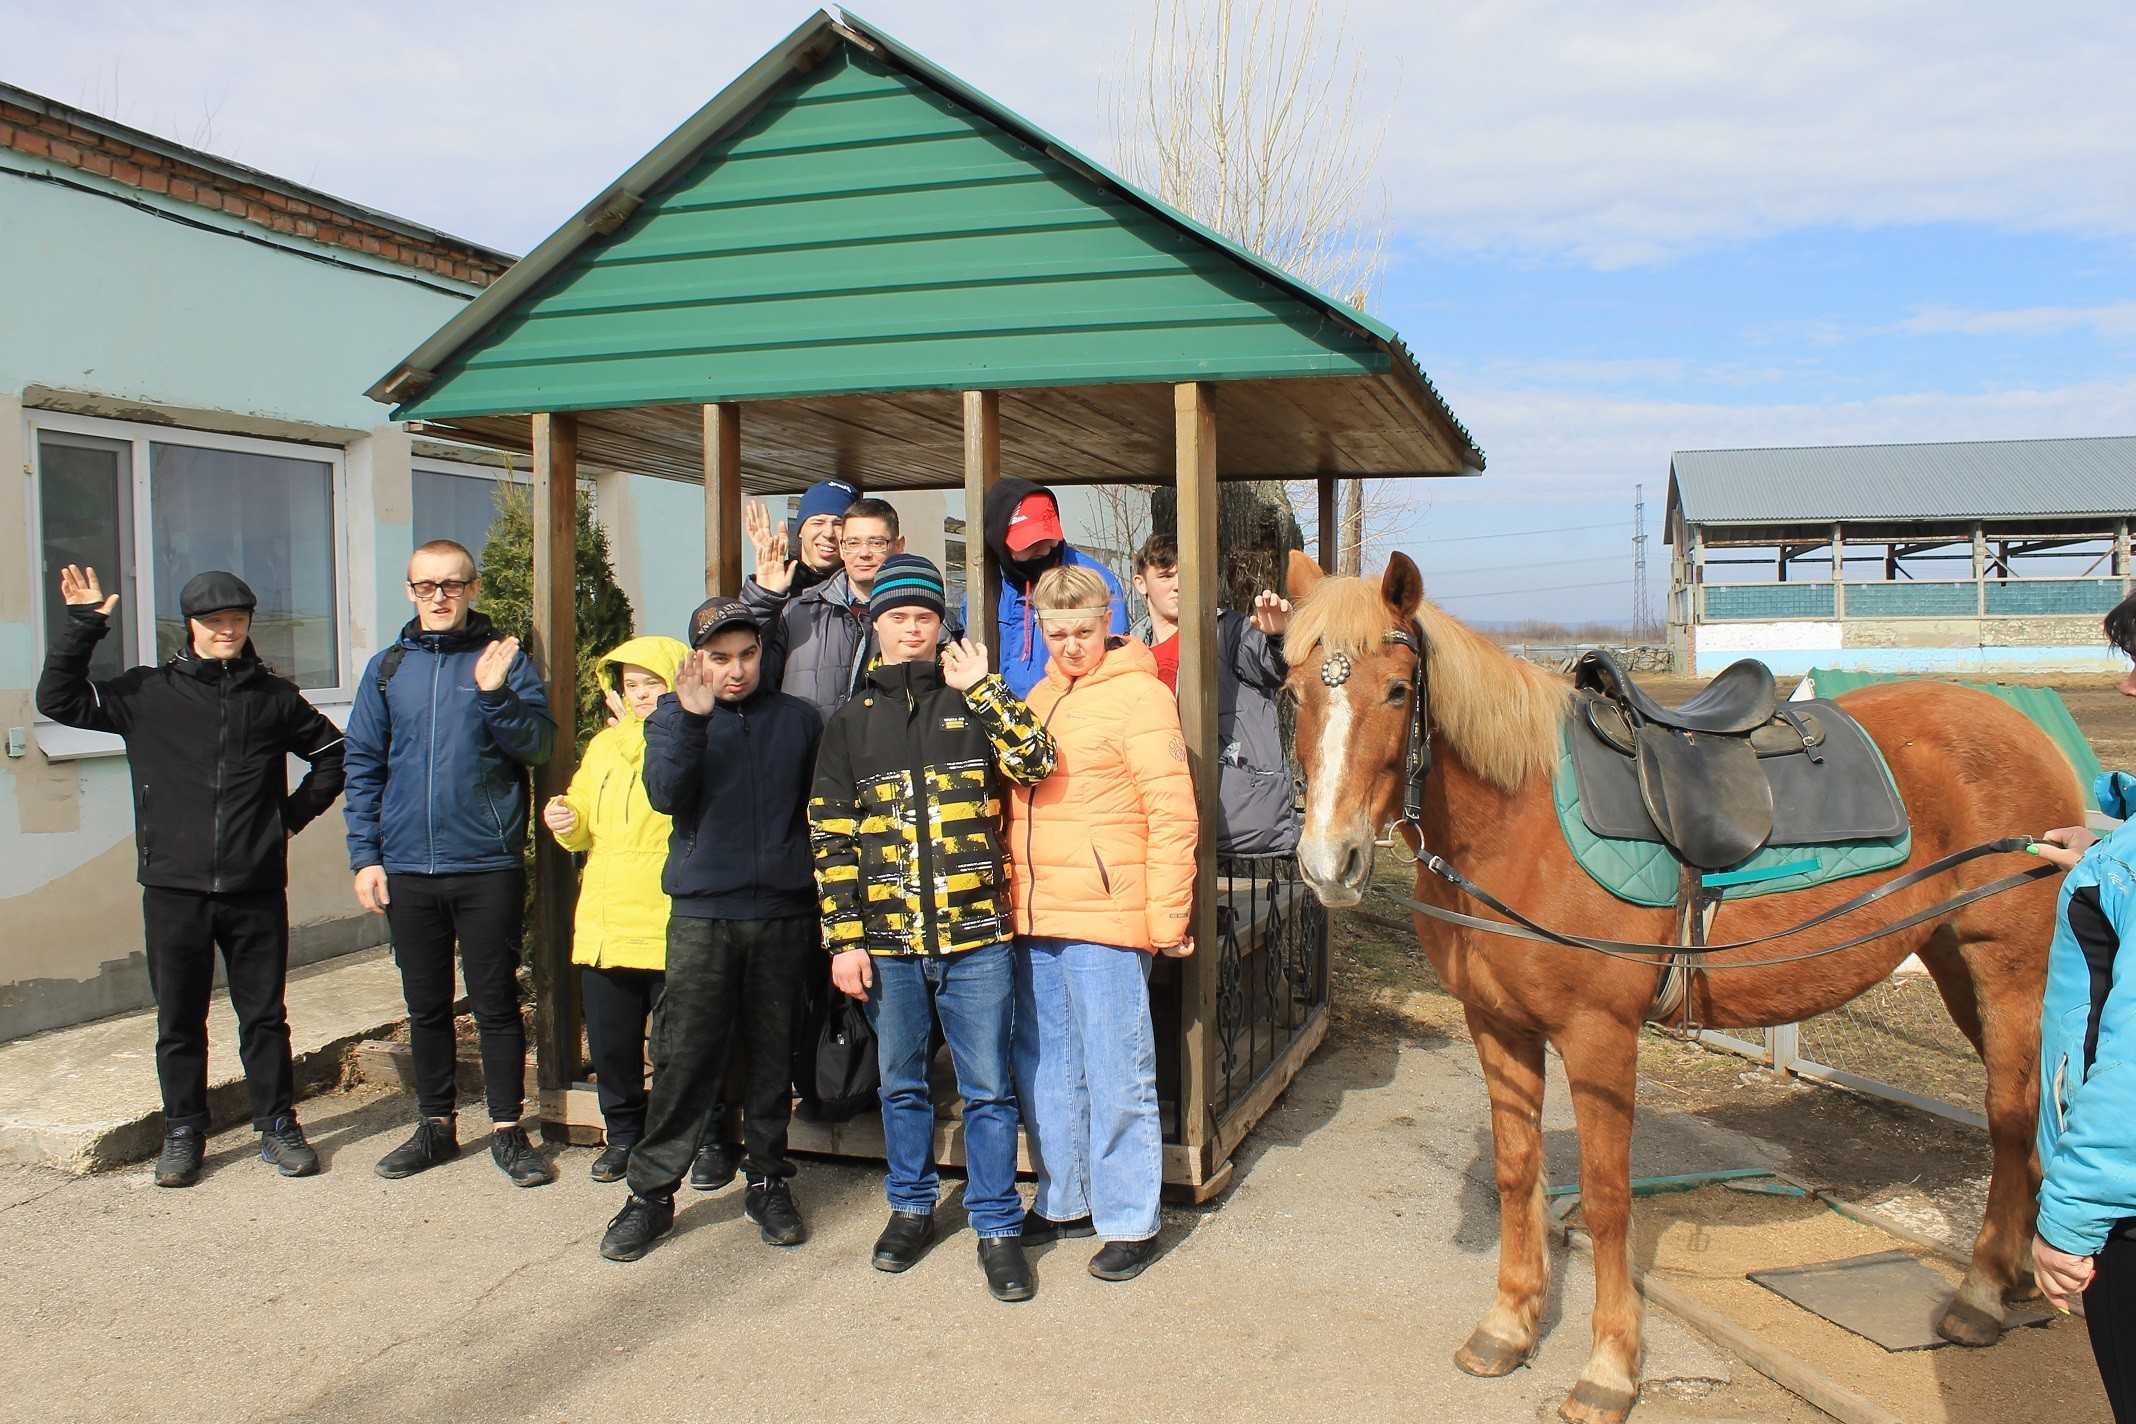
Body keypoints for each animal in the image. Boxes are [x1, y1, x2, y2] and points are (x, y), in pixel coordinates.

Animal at [1273, 550, 2076, 1424]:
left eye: (1396, 691)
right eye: (1295, 690)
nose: (1331, 864)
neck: (1521, 823)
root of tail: (2023, 728)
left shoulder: (1598, 1035)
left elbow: (1606, 1196)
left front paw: (1608, 1369)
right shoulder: (1497, 1025)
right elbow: (1518, 1173)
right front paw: (1506, 1329)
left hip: (2008, 965)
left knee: (2008, 1112)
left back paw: (1981, 1294)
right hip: (1956, 962)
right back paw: (2015, 1274)